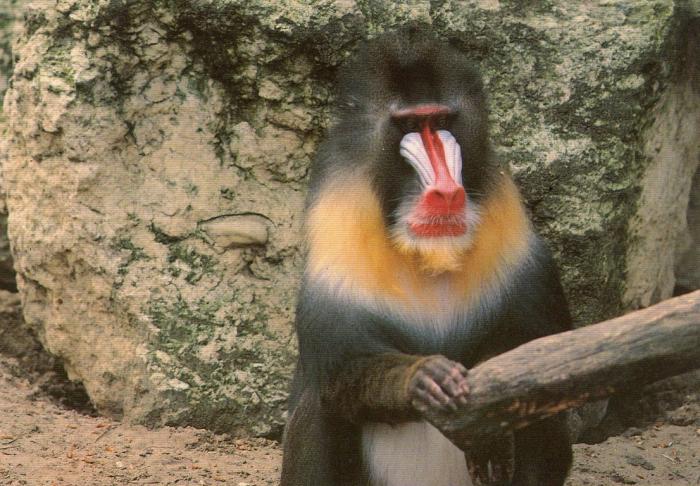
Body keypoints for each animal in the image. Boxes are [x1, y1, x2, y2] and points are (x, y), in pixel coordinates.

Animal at [281, 29, 573, 486]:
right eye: (408, 125)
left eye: (441, 123)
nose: (446, 193)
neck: (430, 258)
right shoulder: (336, 257)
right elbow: (340, 372)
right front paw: (422, 377)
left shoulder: (523, 261)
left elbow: (543, 362)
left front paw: (492, 432)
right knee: (319, 404)